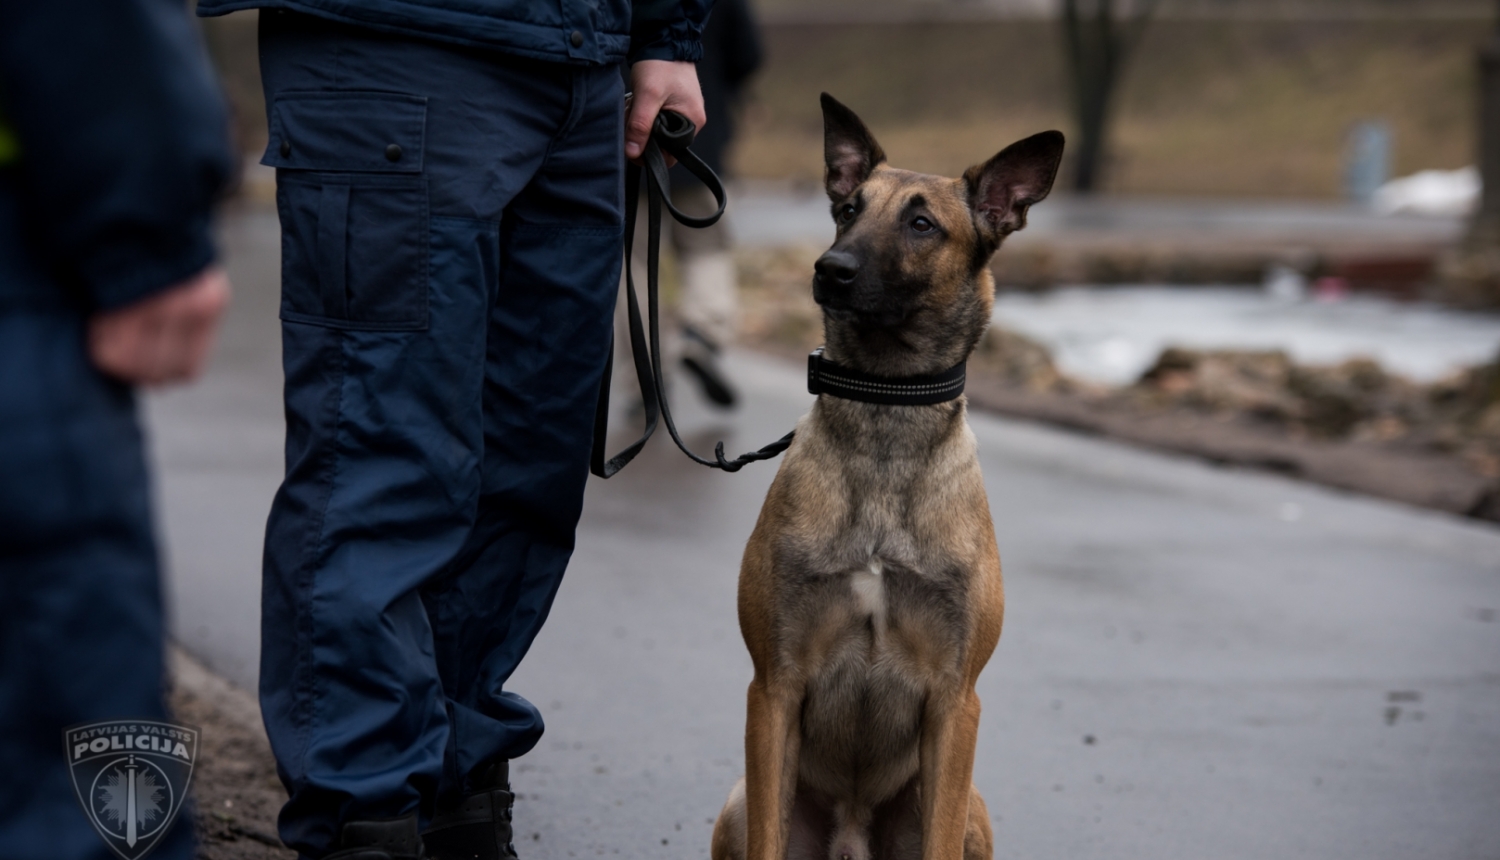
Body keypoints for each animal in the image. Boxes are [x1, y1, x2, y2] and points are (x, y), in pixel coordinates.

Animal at [708, 93, 1062, 858]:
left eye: (921, 223)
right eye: (847, 210)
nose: (828, 267)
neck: (884, 410)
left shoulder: (956, 701)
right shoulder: (773, 687)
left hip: (974, 810)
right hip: (738, 803)